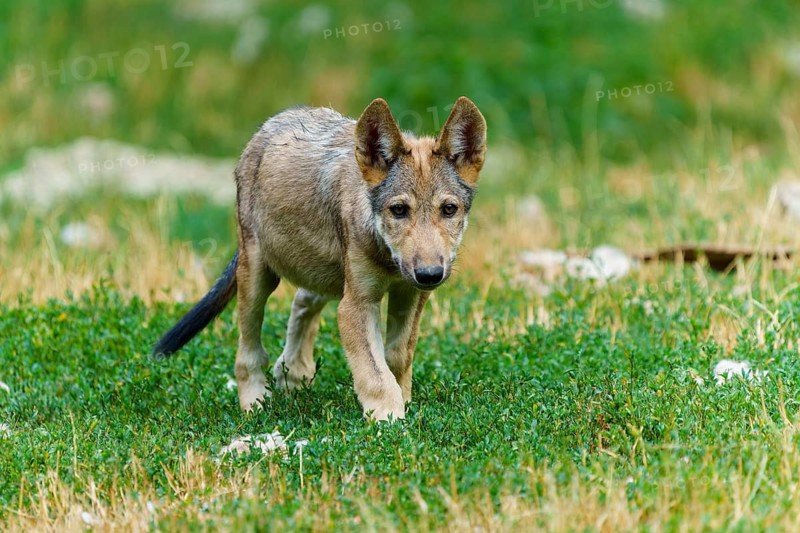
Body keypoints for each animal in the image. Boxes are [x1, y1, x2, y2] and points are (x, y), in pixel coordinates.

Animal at [153, 96, 487, 421]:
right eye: (399, 210)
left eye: (448, 209)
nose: (430, 275)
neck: (387, 258)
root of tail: (274, 121)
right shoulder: (357, 303)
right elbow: (375, 372)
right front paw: (389, 419)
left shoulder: (410, 294)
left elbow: (397, 356)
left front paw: (402, 400)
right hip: (259, 278)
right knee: (248, 351)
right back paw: (255, 404)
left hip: (327, 276)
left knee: (302, 302)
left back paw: (293, 373)